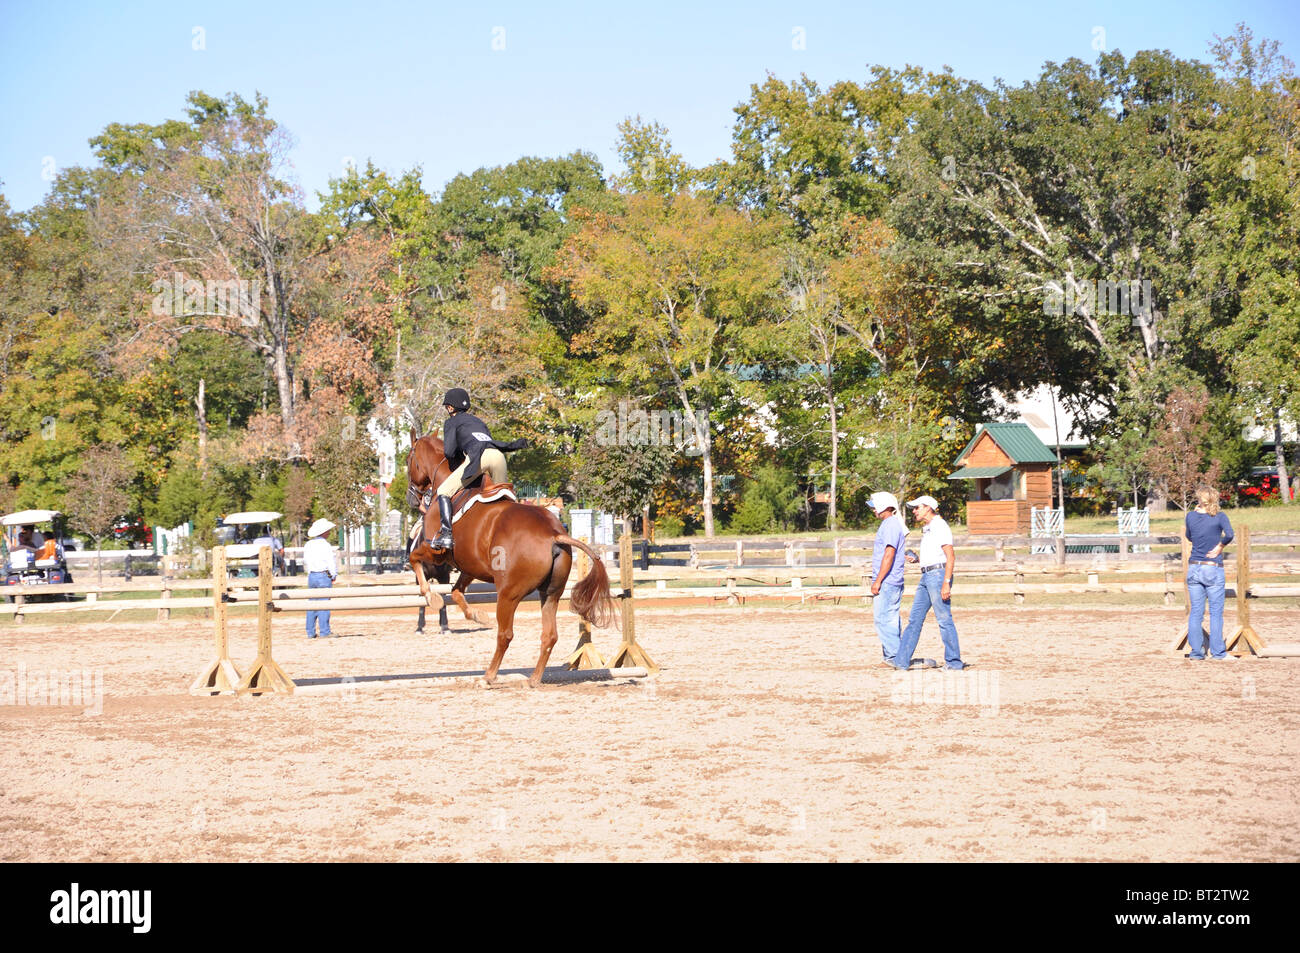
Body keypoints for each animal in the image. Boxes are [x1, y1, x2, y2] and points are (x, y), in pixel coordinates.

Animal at [408, 431, 616, 686]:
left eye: (409, 459)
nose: (412, 499)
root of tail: (553, 534)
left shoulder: (435, 553)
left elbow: (414, 560)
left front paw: (431, 597)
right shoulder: (469, 567)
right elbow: (456, 592)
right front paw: (476, 615)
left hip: (508, 594)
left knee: (505, 634)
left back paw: (488, 677)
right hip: (551, 593)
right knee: (549, 635)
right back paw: (533, 679)